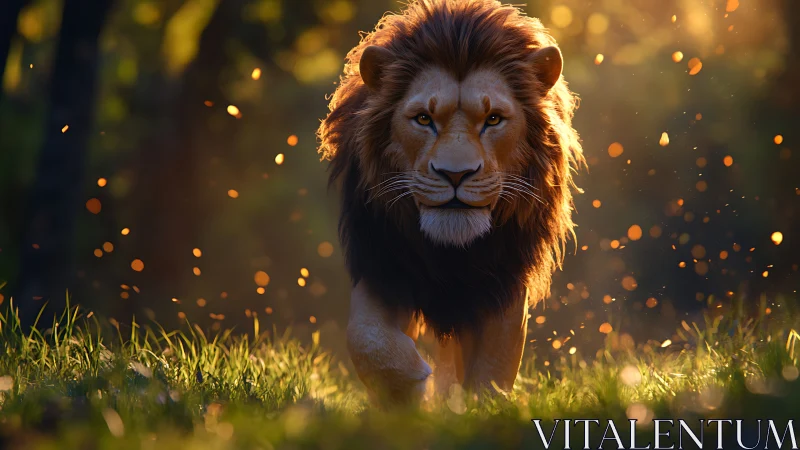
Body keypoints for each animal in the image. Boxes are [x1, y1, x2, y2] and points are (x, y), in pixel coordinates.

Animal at [317, 0, 584, 407]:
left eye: (493, 119)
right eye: (423, 119)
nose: (455, 174)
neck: (452, 253)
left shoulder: (504, 278)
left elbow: (494, 362)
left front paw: (481, 406)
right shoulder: (383, 265)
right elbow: (368, 339)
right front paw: (408, 389)